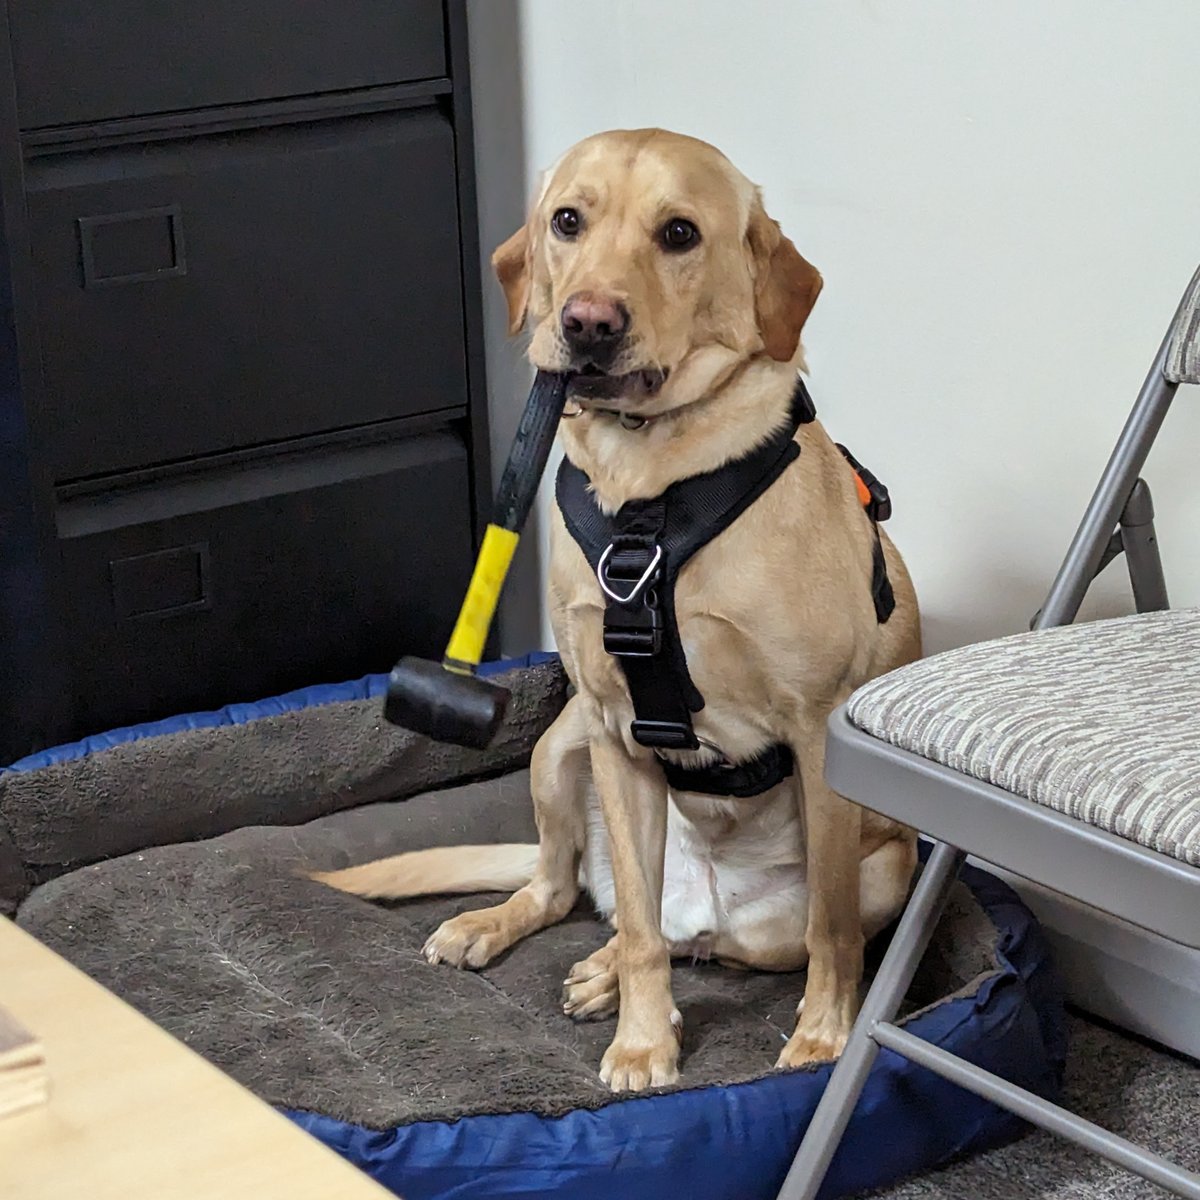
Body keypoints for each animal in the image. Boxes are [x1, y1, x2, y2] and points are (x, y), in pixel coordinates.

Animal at [316, 126, 916, 1094]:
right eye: (568, 221)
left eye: (679, 233)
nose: (587, 323)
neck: (652, 488)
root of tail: (710, 903)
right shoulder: (612, 731)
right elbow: (637, 932)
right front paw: (641, 1040)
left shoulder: (820, 731)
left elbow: (831, 935)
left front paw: (823, 1037)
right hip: (558, 754)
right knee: (580, 896)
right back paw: (548, 950)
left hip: (882, 868)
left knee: (741, 944)